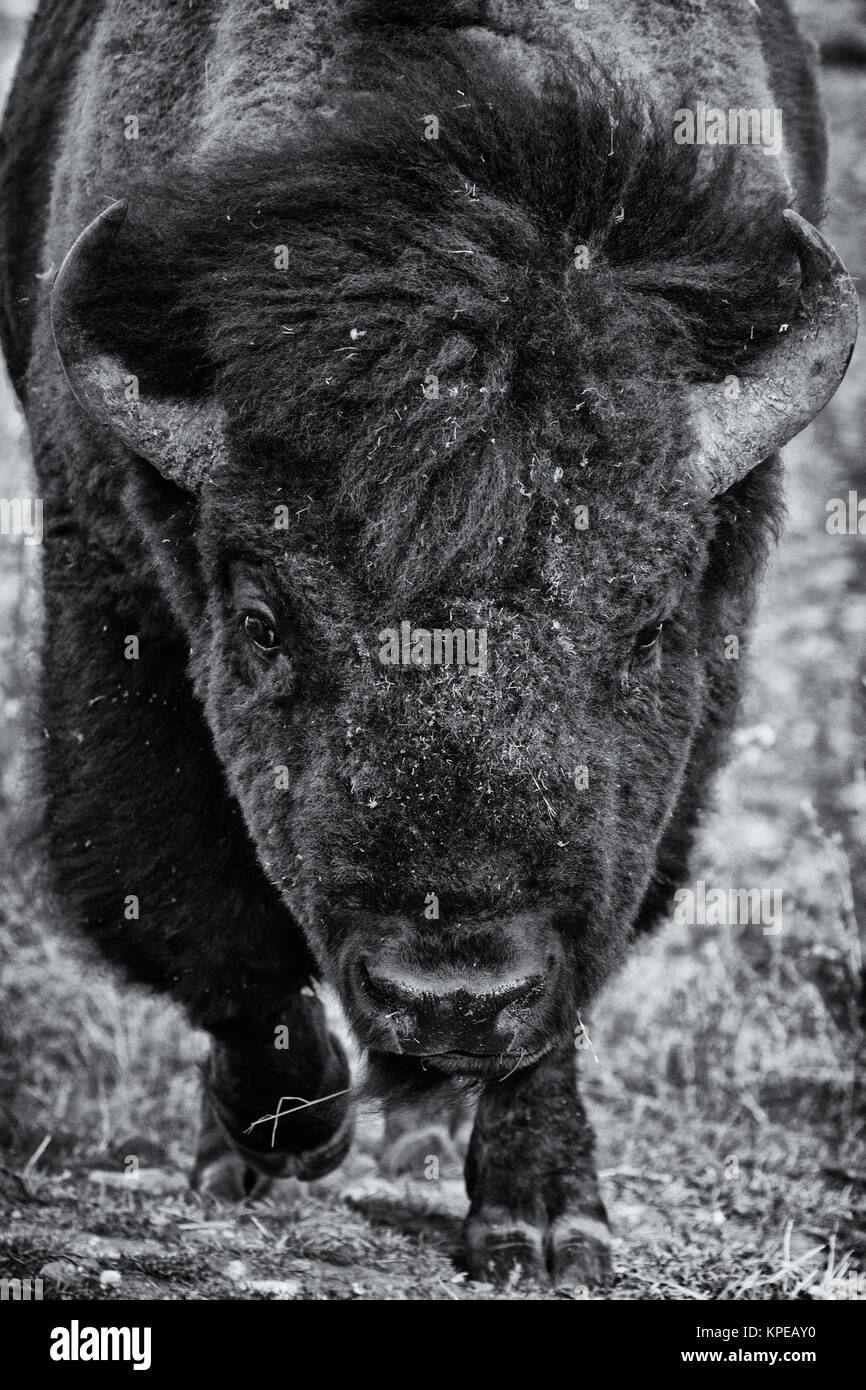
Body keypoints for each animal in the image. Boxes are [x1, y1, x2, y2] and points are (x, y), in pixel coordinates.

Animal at [0, 0, 856, 1278]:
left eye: (647, 627)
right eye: (261, 625)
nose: (451, 997)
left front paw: (544, 1217)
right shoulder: (111, 593)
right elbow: (203, 907)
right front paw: (281, 1133)